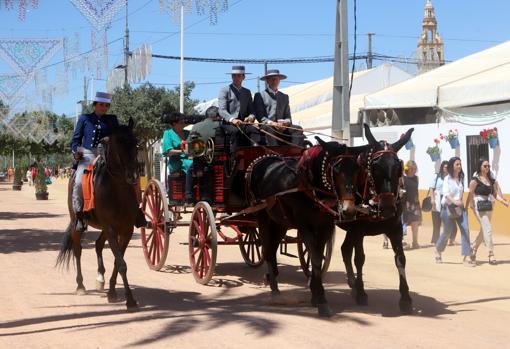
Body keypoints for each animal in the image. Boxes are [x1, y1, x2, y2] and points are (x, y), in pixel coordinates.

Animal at [55, 117, 140, 310]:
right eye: (118, 142)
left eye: (135, 142)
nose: (132, 175)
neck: (117, 191)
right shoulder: (111, 229)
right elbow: (121, 263)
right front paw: (130, 299)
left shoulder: (126, 230)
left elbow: (118, 260)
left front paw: (112, 291)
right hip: (78, 224)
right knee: (78, 250)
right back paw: (80, 285)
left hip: (105, 229)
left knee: (98, 245)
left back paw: (100, 278)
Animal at [246, 138, 368, 316]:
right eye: (335, 169)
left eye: (357, 170)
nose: (349, 211)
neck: (310, 187)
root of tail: (259, 161)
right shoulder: (304, 226)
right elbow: (316, 259)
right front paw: (322, 300)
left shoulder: (325, 227)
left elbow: (316, 256)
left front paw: (315, 295)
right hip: (262, 216)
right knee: (267, 250)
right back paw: (274, 289)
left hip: (280, 222)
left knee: (272, 249)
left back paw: (272, 278)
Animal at [338, 124, 414, 312]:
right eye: (375, 167)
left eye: (398, 168)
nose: (387, 207)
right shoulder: (358, 231)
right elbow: (359, 259)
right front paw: (361, 293)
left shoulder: (395, 229)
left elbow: (400, 259)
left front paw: (405, 297)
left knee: (345, 249)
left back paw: (352, 283)